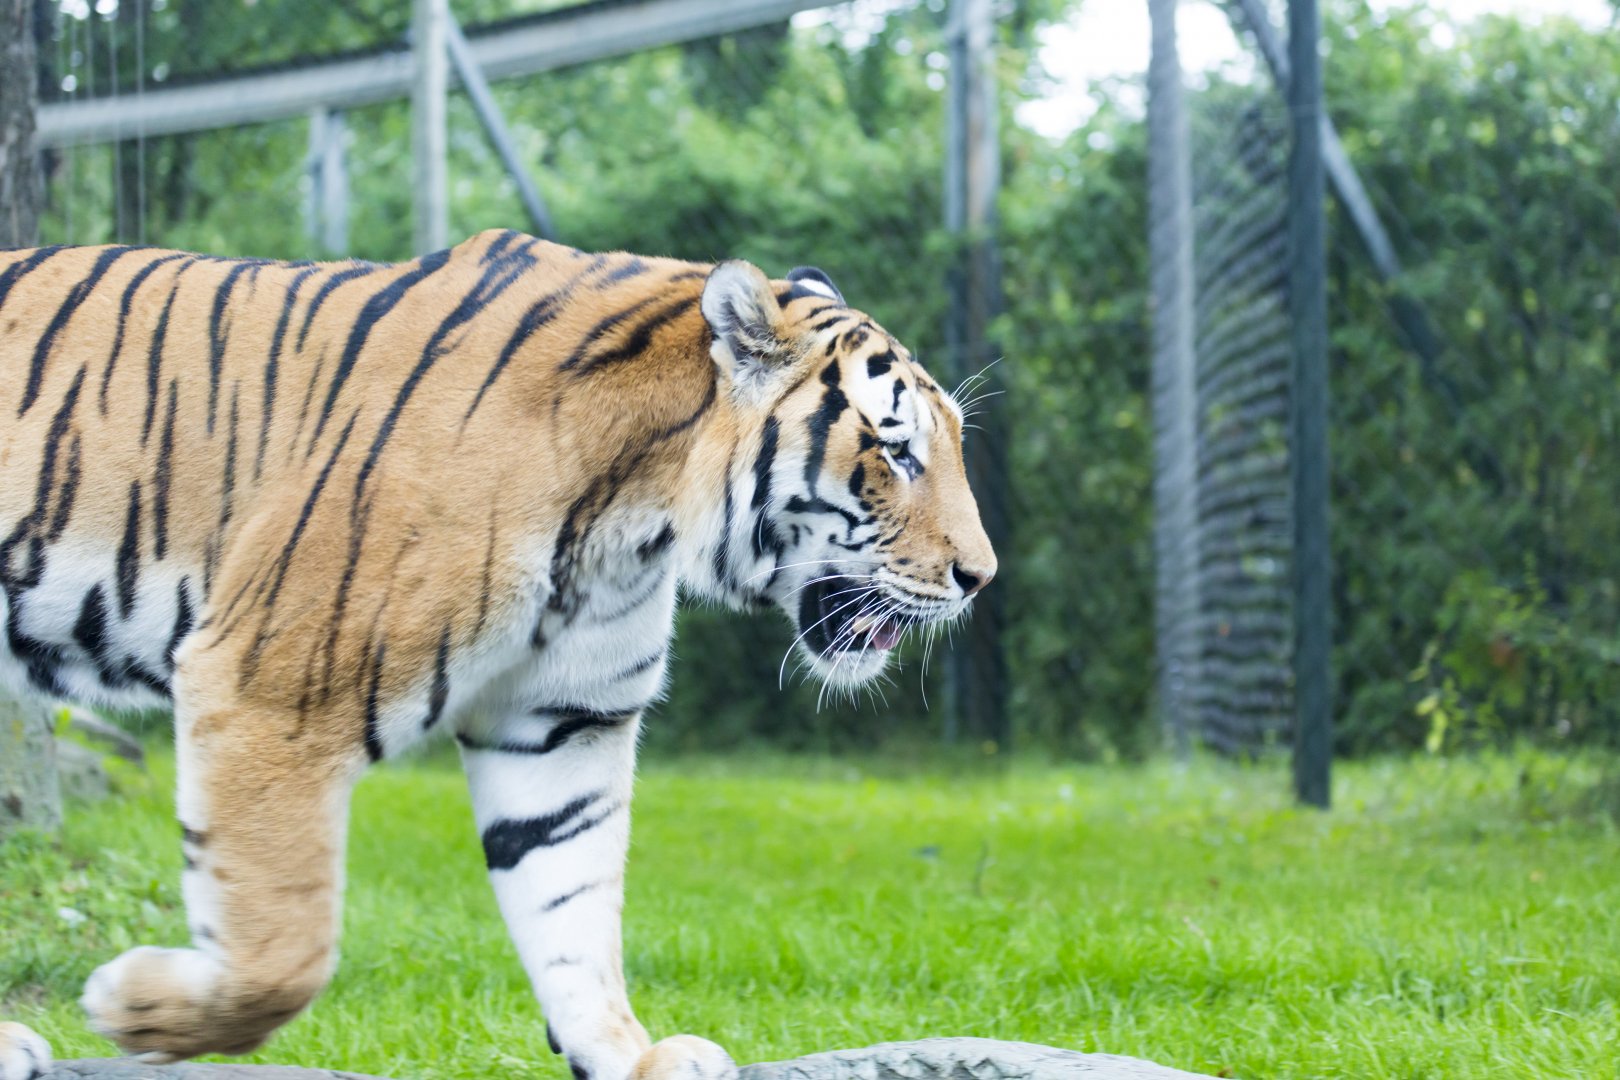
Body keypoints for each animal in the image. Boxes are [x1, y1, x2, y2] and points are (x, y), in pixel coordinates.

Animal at [0, 230, 995, 1080]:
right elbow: (284, 948)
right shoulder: (272, 686)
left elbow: (573, 908)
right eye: (896, 453)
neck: (634, 518)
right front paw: (132, 1008)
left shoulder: (564, 724)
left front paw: (628, 1054)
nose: (981, 577)